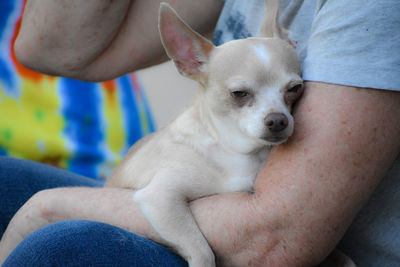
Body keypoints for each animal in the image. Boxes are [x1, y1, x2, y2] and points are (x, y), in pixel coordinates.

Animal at [106, 1, 304, 266]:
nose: (278, 120)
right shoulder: (159, 197)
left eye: (295, 88)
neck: (234, 150)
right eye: (239, 93)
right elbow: (202, 250)